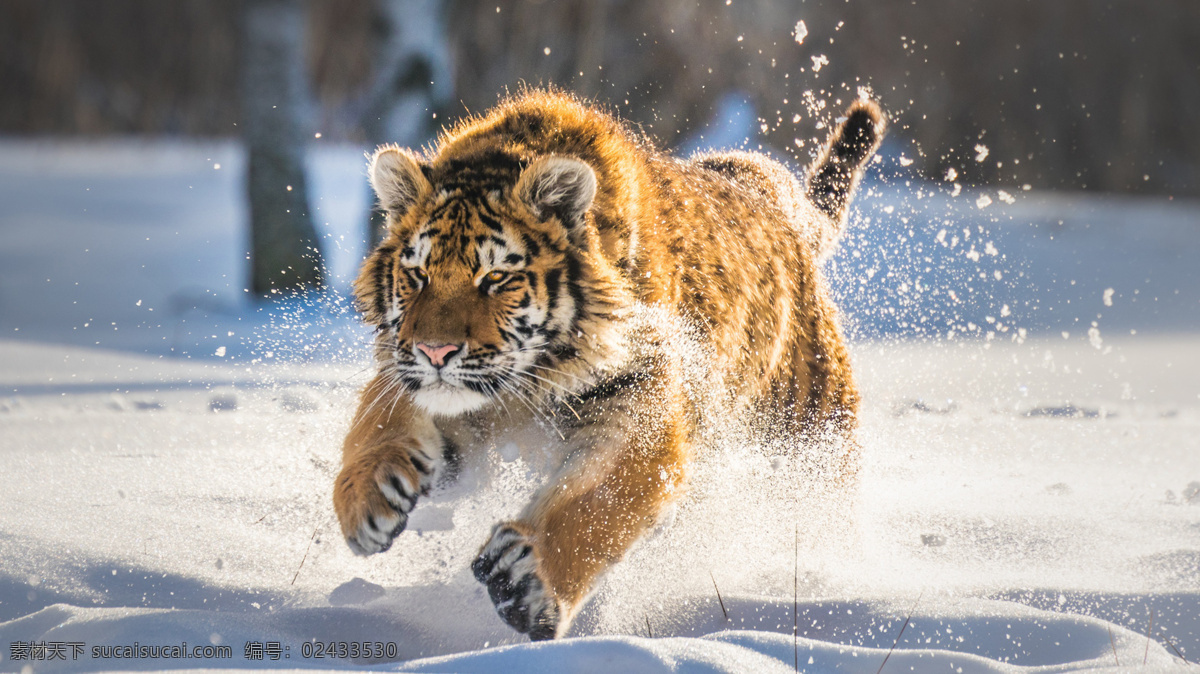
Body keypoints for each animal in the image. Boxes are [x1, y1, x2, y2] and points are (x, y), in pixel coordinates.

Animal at [332, 89, 884, 640]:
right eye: (417, 274)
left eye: (495, 278)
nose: (435, 352)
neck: (525, 385)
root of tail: (776, 199)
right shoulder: (425, 382)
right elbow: (377, 419)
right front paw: (365, 500)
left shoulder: (640, 408)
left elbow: (596, 504)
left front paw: (526, 581)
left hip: (810, 442)